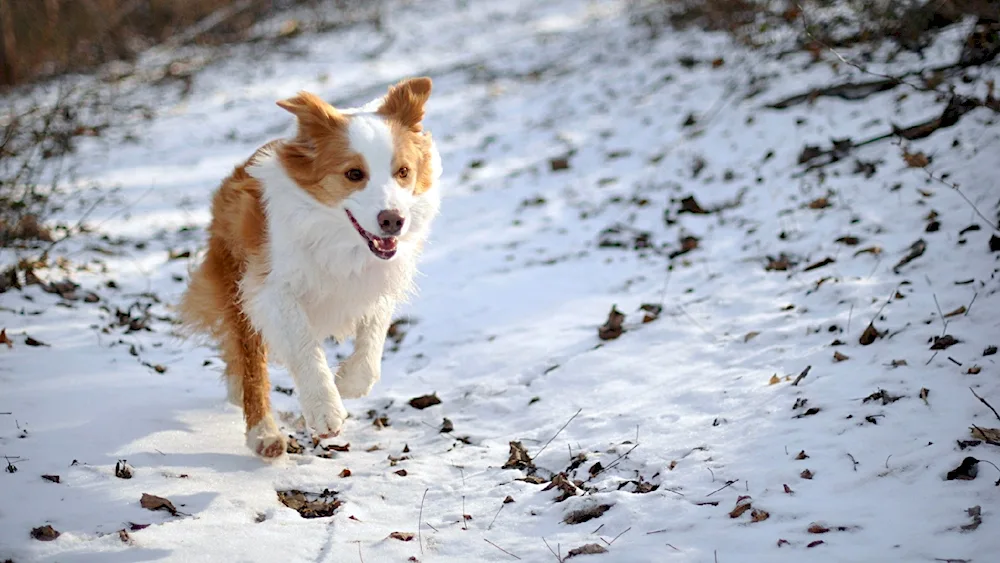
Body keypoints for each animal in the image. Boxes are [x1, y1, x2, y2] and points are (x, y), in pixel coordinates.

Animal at [179, 78, 442, 458]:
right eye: (353, 174)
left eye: (403, 172)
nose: (393, 220)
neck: (338, 238)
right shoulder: (270, 289)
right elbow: (303, 344)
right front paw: (325, 408)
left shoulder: (377, 280)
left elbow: (373, 340)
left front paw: (347, 383)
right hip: (237, 287)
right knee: (252, 366)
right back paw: (264, 434)